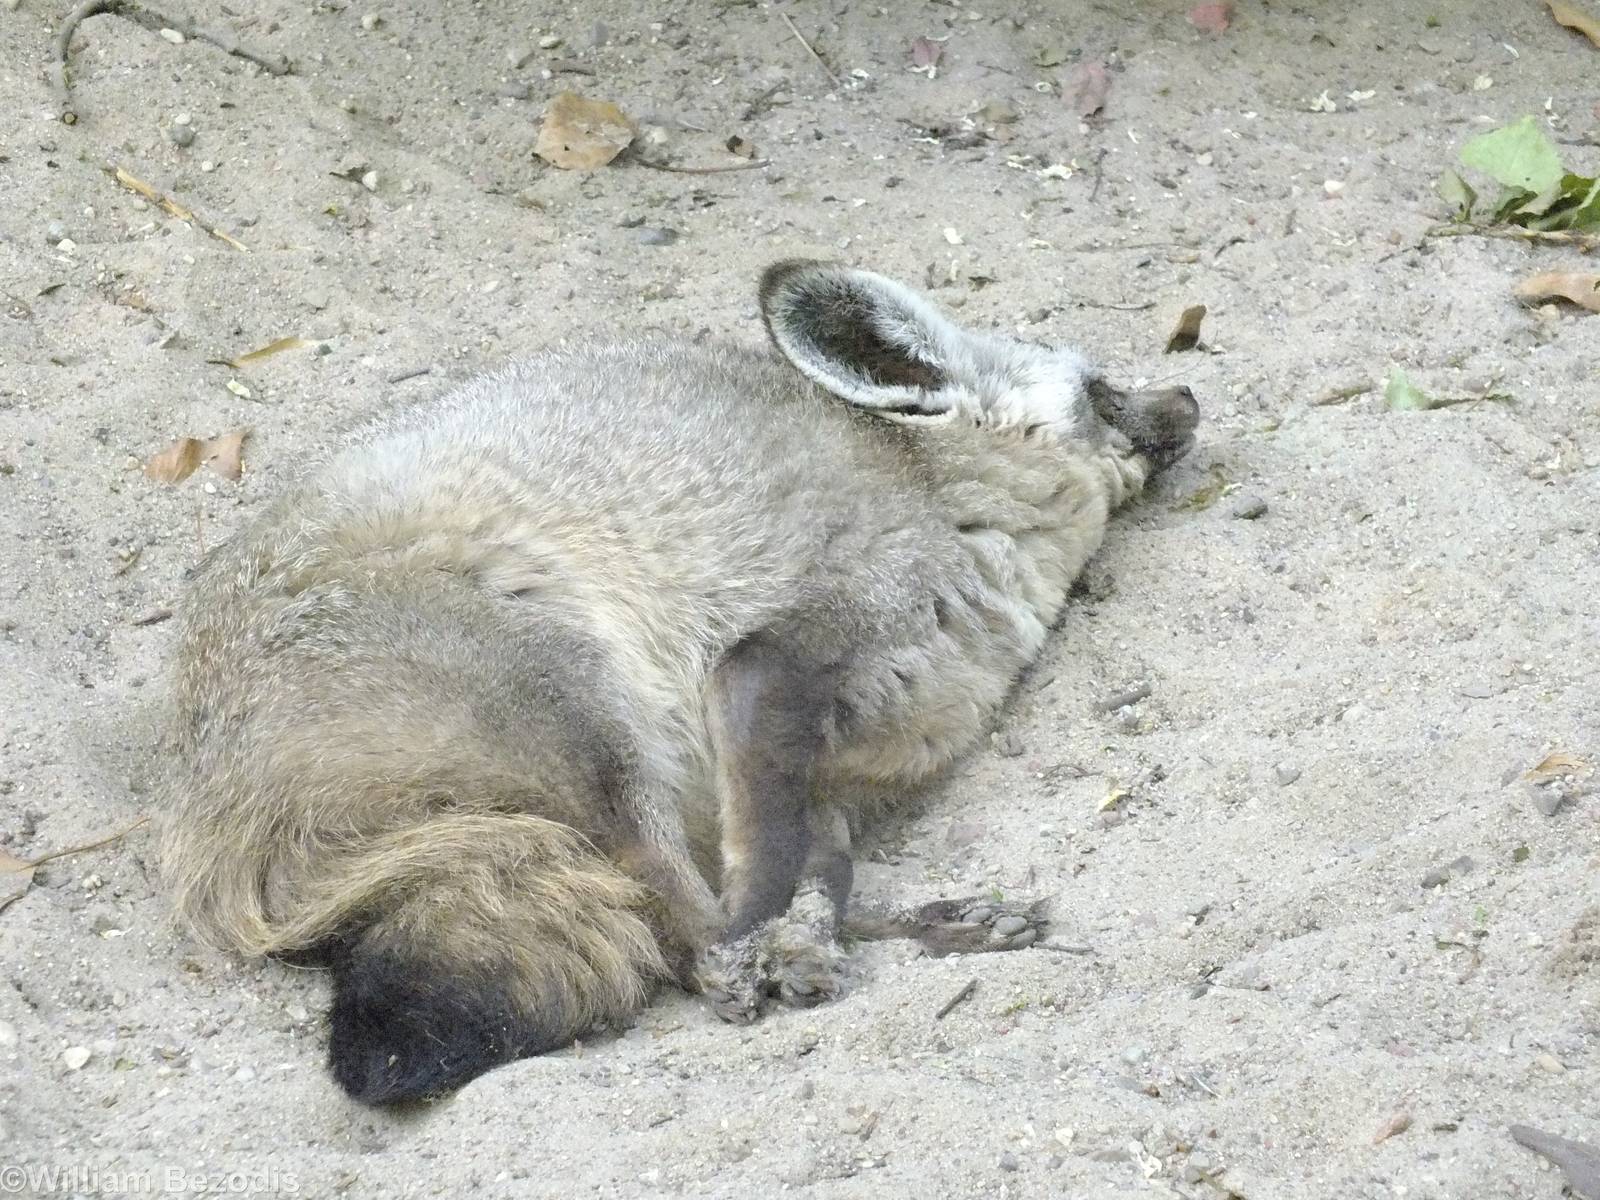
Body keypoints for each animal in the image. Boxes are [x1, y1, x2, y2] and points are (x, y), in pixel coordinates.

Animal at [159, 260, 1200, 1105]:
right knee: (671, 922)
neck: (953, 506)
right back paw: (756, 965)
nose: (1189, 395)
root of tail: (207, 795)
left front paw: (881, 926)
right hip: (586, 706)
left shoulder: (836, 776)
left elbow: (821, 874)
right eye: (1104, 390)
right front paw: (769, 949)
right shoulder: (767, 668)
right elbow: (766, 880)